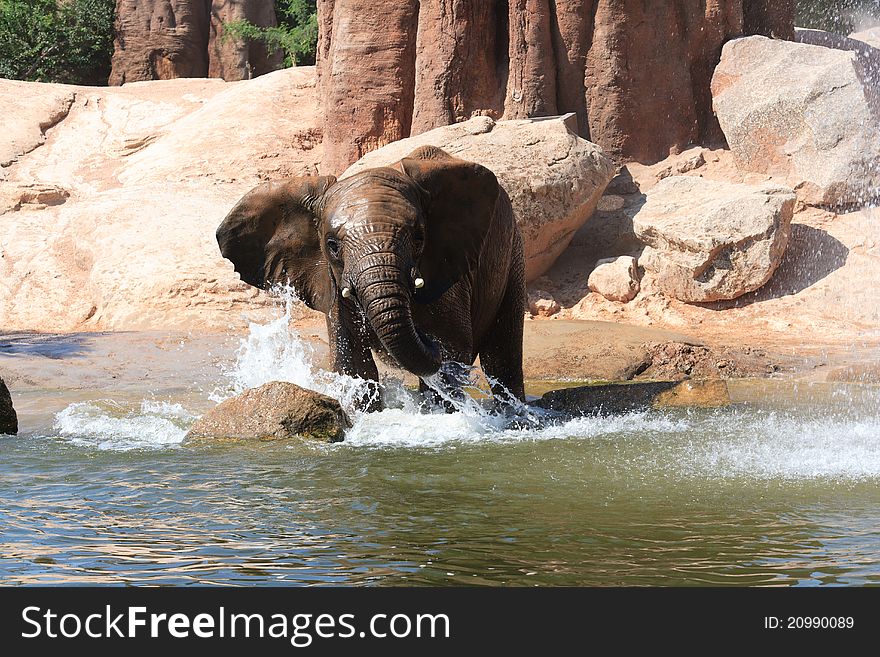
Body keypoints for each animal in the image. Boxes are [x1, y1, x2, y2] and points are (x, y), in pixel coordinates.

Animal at [217, 146, 524, 408]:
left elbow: (452, 353)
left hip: (513, 250)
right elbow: (353, 360)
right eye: (332, 245)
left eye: (419, 237)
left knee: (502, 356)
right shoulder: (332, 282)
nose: (426, 338)